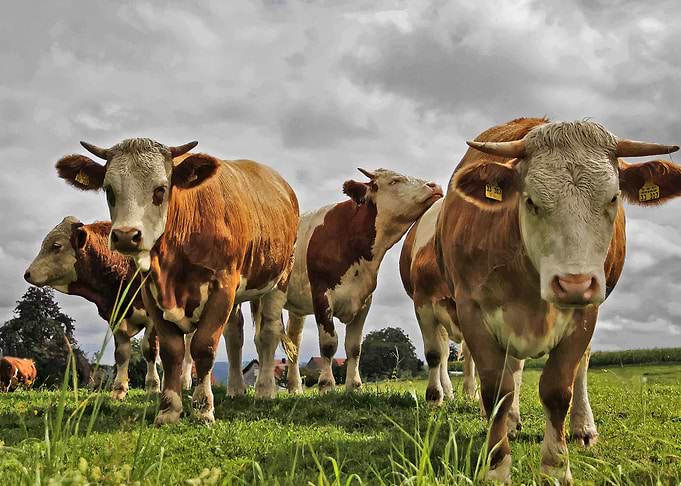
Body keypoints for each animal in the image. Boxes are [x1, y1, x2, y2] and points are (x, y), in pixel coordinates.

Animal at [24, 218, 160, 400]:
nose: (27, 274)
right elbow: (122, 353)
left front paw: (153, 388)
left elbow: (149, 349)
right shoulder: (115, 316)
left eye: (56, 245)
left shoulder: (154, 316)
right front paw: (119, 389)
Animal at [55, 138, 299, 425]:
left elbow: (203, 346)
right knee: (234, 334)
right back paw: (236, 388)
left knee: (268, 332)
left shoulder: (223, 285)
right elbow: (172, 351)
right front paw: (169, 408)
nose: (126, 236)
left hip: (279, 279)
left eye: (161, 189)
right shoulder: (151, 293)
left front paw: (203, 408)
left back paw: (264, 390)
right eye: (109, 190)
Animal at [266, 168, 443, 394]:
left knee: (294, 342)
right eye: (394, 181)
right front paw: (326, 385)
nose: (435, 186)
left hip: (296, 307)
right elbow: (329, 344)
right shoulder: (321, 295)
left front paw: (354, 386)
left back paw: (295, 388)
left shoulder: (364, 299)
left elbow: (354, 347)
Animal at [436, 117, 680, 483]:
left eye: (613, 198)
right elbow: (498, 390)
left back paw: (582, 427)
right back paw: (512, 423)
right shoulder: (472, 310)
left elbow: (557, 389)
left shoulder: (586, 313)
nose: (573, 283)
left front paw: (555, 466)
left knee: (581, 367)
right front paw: (497, 466)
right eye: (531, 201)